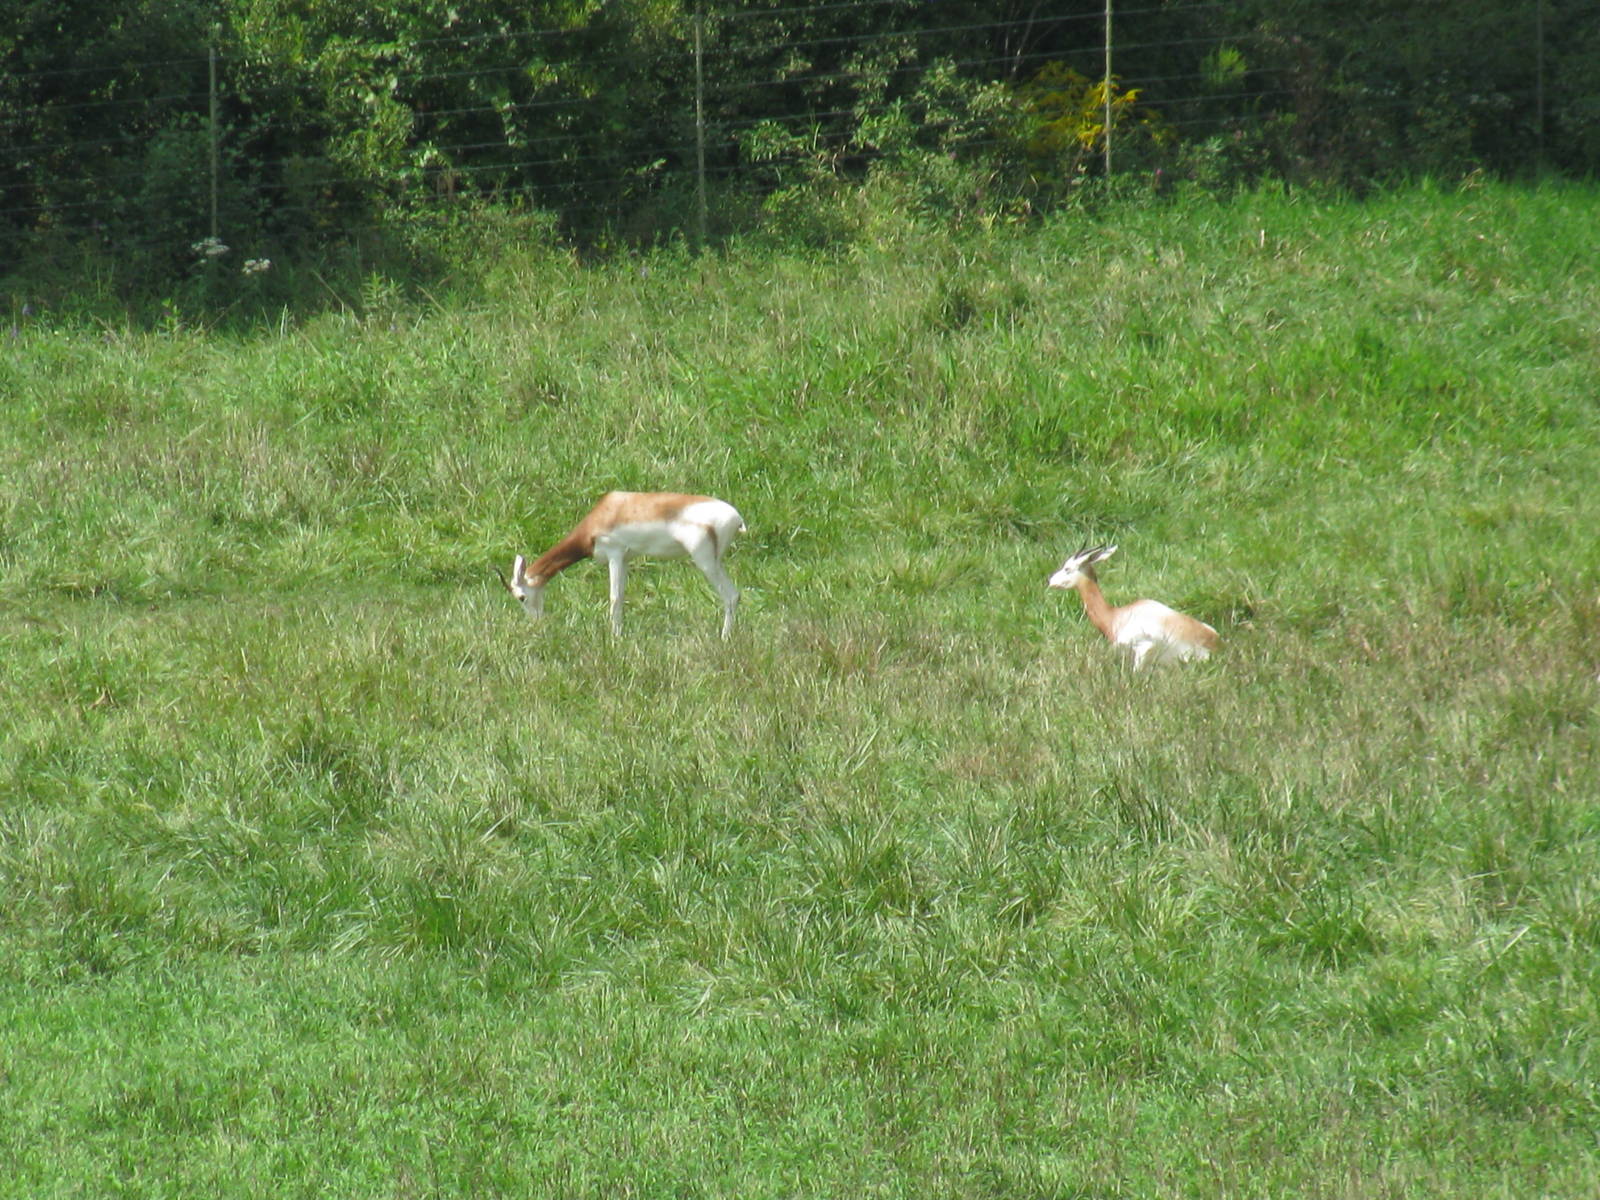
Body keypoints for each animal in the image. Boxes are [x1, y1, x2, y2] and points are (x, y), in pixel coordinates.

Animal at [505, 492, 745, 639]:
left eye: (521, 597)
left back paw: (724, 638)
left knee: (730, 595)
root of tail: (737, 518)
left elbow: (614, 598)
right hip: (715, 562)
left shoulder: (615, 554)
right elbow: (621, 595)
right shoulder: (626, 559)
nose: (536, 623)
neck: (608, 512)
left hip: (705, 561)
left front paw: (615, 638)